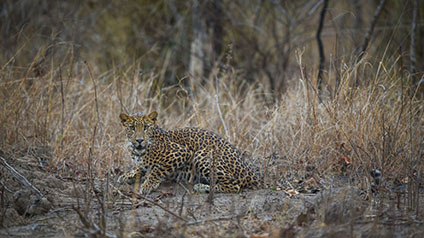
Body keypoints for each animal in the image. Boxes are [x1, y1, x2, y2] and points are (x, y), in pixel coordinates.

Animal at [117, 110, 260, 194]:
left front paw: (147, 185)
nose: (139, 140)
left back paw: (201, 187)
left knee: (234, 185)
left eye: (146, 127)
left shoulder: (181, 152)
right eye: (132, 128)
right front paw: (126, 176)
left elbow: (157, 170)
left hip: (202, 154)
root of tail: (251, 172)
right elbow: (139, 168)